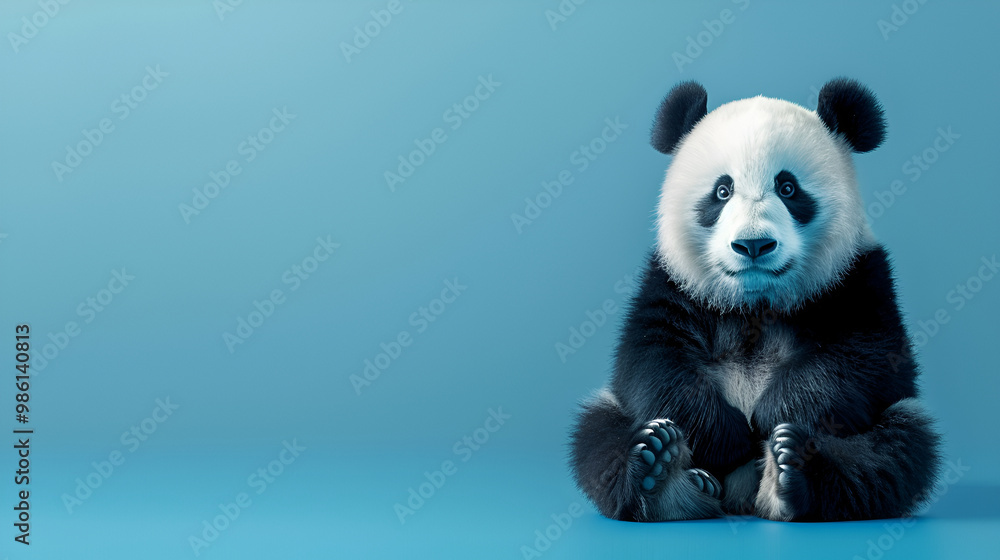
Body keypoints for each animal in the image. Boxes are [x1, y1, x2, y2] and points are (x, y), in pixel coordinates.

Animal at [569, 78, 941, 522]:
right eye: (722, 191)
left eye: (788, 188)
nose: (753, 245)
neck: (754, 303)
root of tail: (741, 495)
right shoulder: (671, 282)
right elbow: (652, 358)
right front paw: (728, 438)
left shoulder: (857, 276)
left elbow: (861, 357)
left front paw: (770, 420)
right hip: (615, 415)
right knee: (599, 436)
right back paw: (660, 472)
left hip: (891, 424)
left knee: (894, 449)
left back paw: (792, 471)